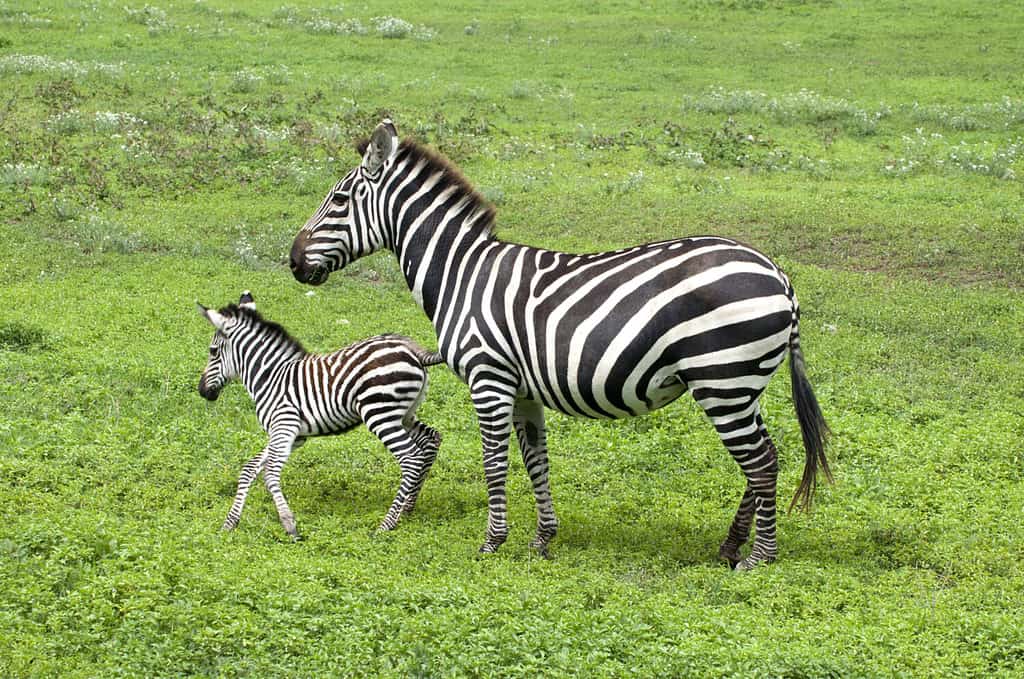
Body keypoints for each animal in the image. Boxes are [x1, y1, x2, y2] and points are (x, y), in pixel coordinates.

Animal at [196, 290, 443, 539]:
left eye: (213, 351)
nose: (202, 391)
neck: (270, 376)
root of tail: (411, 348)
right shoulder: (293, 436)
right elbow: (250, 468)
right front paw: (230, 523)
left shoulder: (284, 426)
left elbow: (270, 472)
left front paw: (289, 524)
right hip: (403, 414)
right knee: (431, 439)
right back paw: (409, 506)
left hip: (379, 414)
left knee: (411, 458)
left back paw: (386, 524)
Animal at [289, 120, 832, 569]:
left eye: (338, 201)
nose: (292, 261)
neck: (461, 275)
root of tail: (779, 276)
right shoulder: (523, 390)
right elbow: (536, 461)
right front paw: (542, 539)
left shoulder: (489, 379)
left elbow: (493, 462)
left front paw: (492, 542)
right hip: (740, 385)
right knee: (763, 457)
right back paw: (731, 545)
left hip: (722, 379)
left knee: (761, 462)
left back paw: (759, 557)